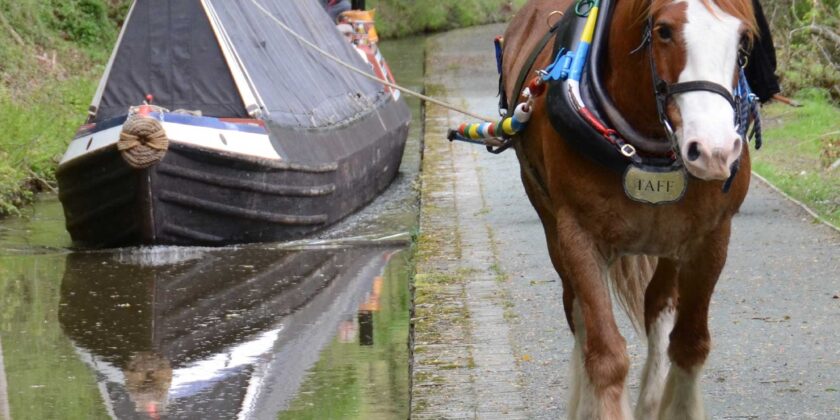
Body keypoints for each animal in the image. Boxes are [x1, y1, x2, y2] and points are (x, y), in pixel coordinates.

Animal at [502, 0, 756, 416]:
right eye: (664, 31)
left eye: (743, 39)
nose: (715, 150)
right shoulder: (579, 237)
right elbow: (605, 354)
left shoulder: (711, 237)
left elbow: (690, 344)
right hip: (553, 227)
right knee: (578, 312)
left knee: (658, 305)